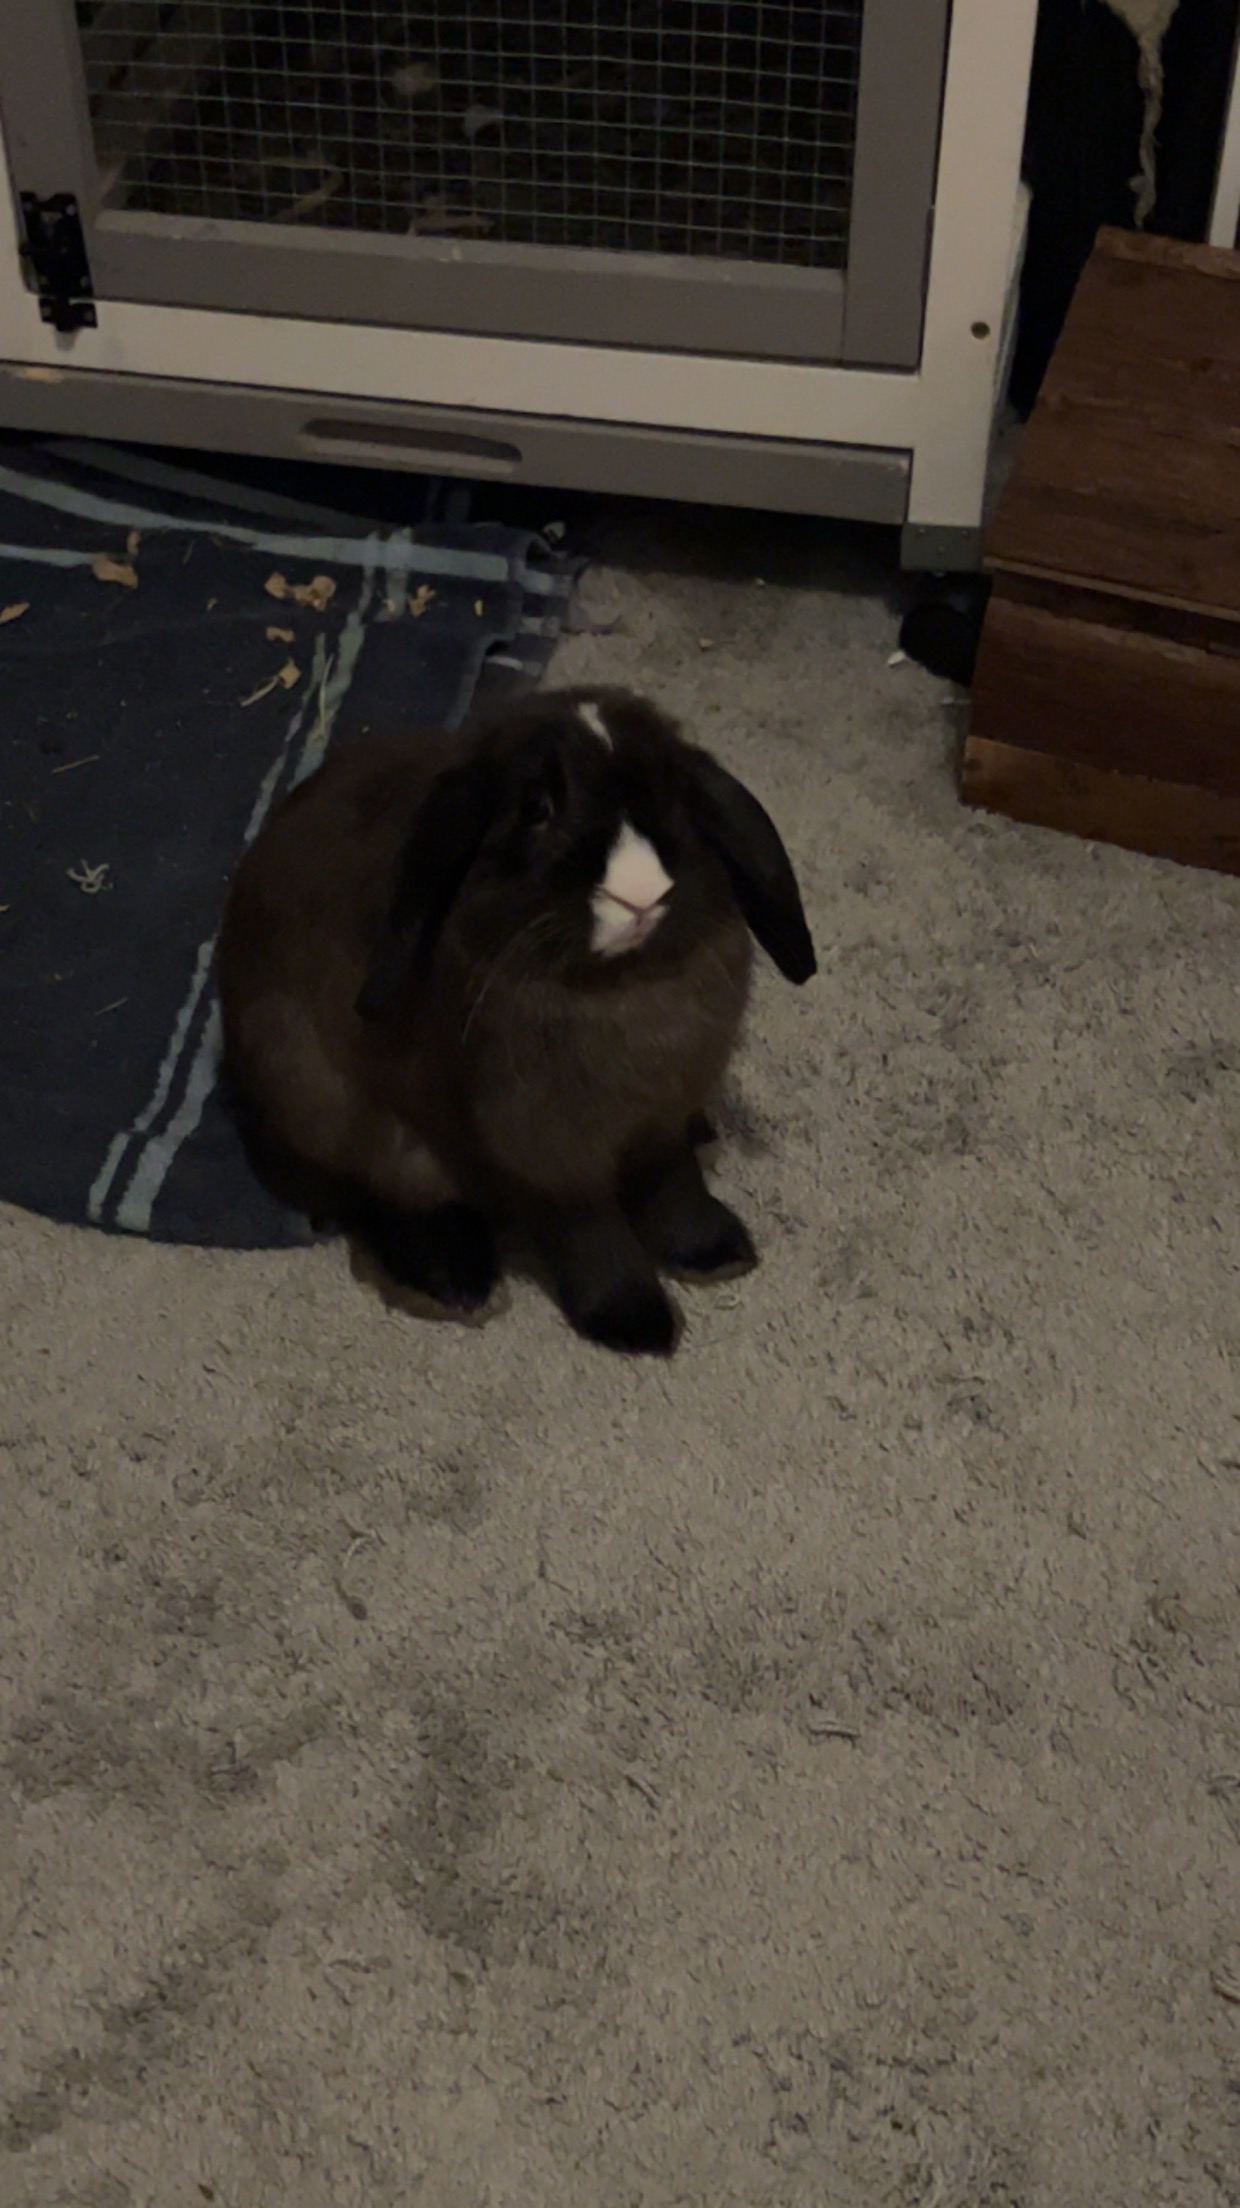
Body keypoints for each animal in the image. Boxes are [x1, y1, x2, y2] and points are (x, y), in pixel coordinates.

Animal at [217, 685, 815, 1355]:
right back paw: (456, 1282)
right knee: (385, 1198)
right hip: (336, 1108)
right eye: (538, 810)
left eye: (673, 799)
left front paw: (715, 1253)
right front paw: (637, 1322)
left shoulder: (660, 1124)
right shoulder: (548, 1156)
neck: (618, 982)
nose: (640, 895)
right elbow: (590, 1232)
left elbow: (676, 1186)